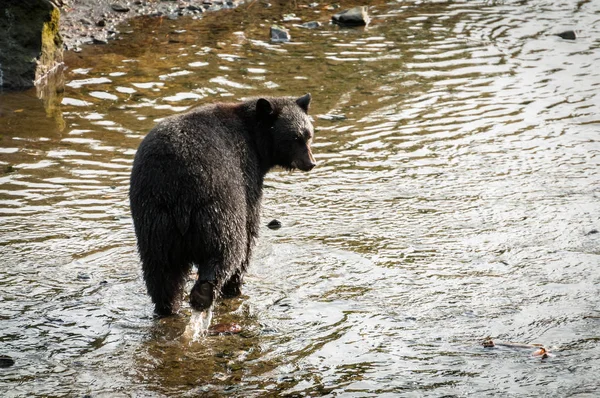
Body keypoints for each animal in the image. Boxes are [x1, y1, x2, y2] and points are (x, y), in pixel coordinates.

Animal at [129, 94, 316, 318]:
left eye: (308, 135)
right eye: (294, 138)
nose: (311, 163)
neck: (255, 139)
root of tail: (178, 186)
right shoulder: (248, 176)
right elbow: (250, 229)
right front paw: (235, 286)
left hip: (154, 220)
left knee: (160, 271)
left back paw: (168, 307)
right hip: (219, 206)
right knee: (227, 247)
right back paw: (204, 293)